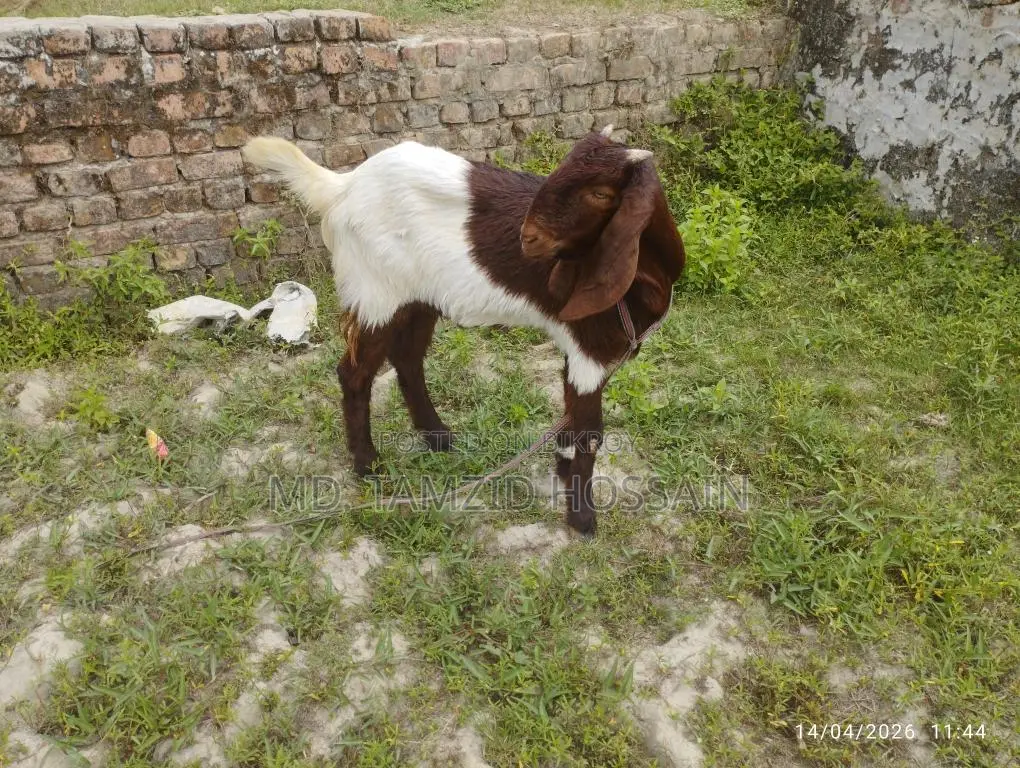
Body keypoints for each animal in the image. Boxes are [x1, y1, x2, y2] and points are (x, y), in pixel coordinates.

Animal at [241, 126, 685, 536]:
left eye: (600, 193)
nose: (528, 238)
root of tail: (343, 186)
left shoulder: (585, 354)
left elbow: (571, 418)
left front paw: (562, 473)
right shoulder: (589, 353)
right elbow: (589, 434)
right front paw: (582, 517)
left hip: (418, 297)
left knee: (408, 359)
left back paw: (438, 438)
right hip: (377, 293)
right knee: (355, 373)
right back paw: (368, 465)